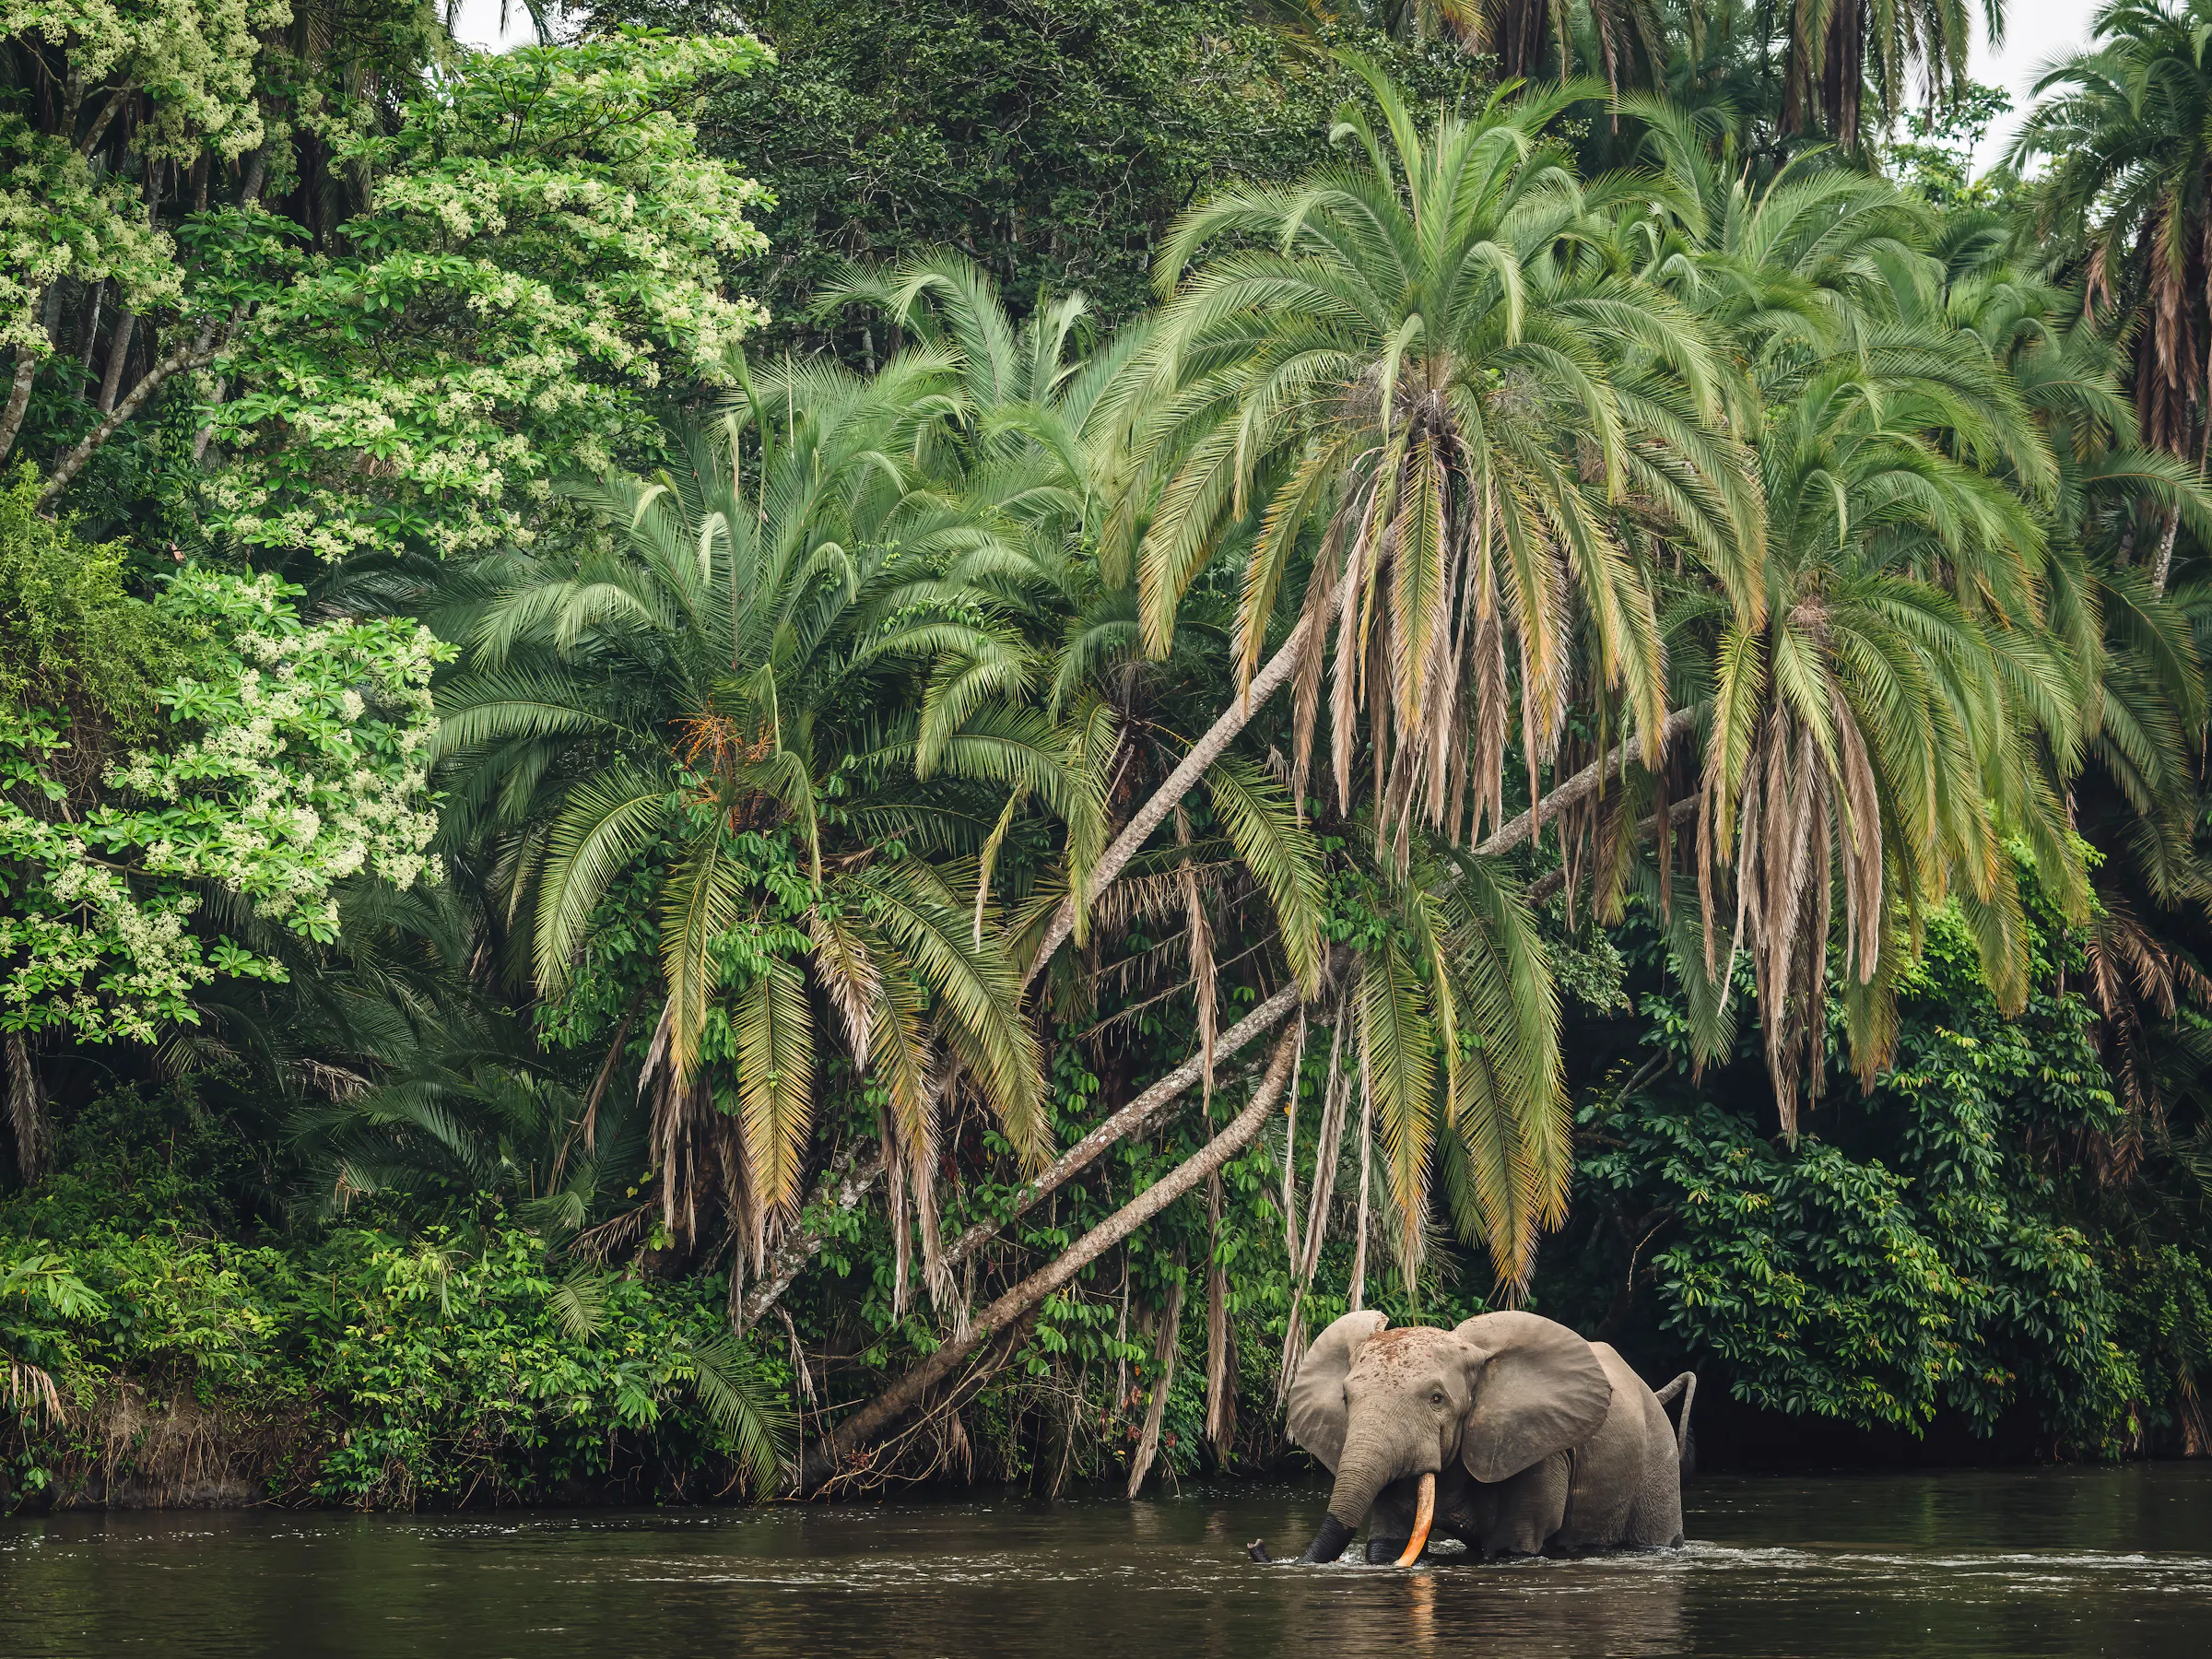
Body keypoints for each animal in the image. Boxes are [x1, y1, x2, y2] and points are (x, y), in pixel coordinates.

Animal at [1248, 1310, 1695, 1566]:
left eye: (1437, 1399)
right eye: (1345, 1398)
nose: (1257, 1547)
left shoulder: (1539, 1448)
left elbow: (1515, 1545)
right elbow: (1388, 1543)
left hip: (1657, 1461)